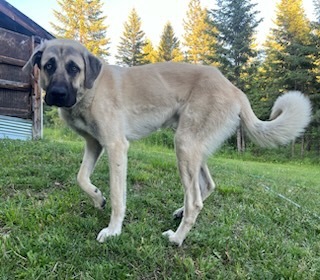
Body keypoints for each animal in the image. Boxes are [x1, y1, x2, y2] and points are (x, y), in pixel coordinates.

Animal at [23, 38, 312, 245]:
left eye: (74, 68)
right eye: (49, 65)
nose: (57, 94)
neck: (89, 91)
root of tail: (235, 90)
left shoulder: (116, 146)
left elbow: (118, 197)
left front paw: (113, 230)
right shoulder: (95, 144)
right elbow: (81, 178)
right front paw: (97, 198)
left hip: (184, 144)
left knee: (195, 201)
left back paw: (176, 238)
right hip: (193, 147)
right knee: (206, 186)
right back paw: (180, 213)